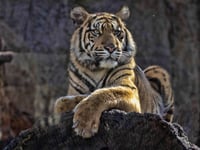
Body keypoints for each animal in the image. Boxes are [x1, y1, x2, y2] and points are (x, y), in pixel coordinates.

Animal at [53, 6, 173, 138]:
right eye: (97, 32)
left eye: (116, 33)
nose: (111, 48)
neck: (96, 69)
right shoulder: (75, 90)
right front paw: (63, 104)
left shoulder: (129, 89)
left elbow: (103, 93)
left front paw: (84, 124)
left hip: (158, 70)